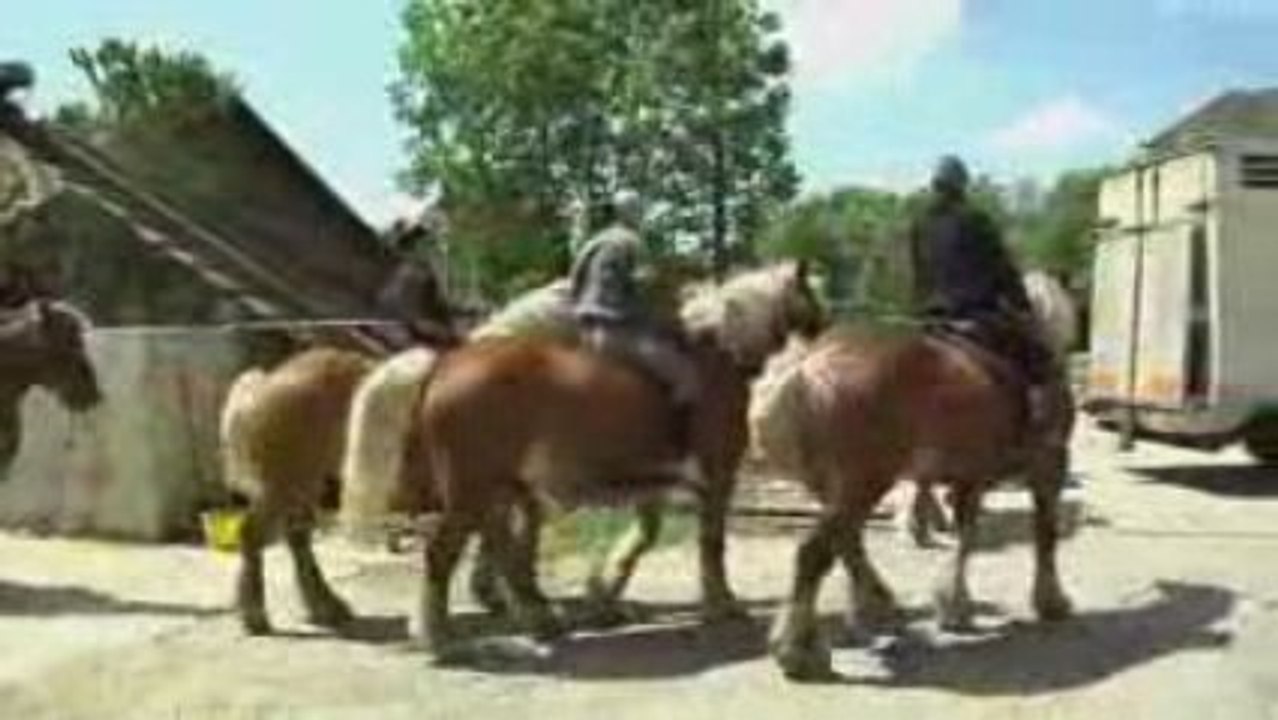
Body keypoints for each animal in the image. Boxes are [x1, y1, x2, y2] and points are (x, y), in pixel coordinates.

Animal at [339, 261, 825, 660]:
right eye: (811, 295)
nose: (823, 332)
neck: (718, 354)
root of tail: (447, 363)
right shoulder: (718, 474)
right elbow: (711, 542)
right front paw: (722, 604)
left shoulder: (653, 479)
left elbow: (644, 536)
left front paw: (603, 596)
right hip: (470, 490)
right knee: (443, 553)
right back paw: (439, 637)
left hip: (491, 487)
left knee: (499, 545)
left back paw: (535, 616)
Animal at [753, 277, 1077, 681]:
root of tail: (806, 366)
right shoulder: (1048, 467)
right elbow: (1043, 535)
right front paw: (1051, 601)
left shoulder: (970, 477)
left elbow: (967, 535)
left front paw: (954, 604)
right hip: (864, 482)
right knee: (815, 551)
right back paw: (800, 651)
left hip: (838, 486)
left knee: (846, 542)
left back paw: (874, 609)